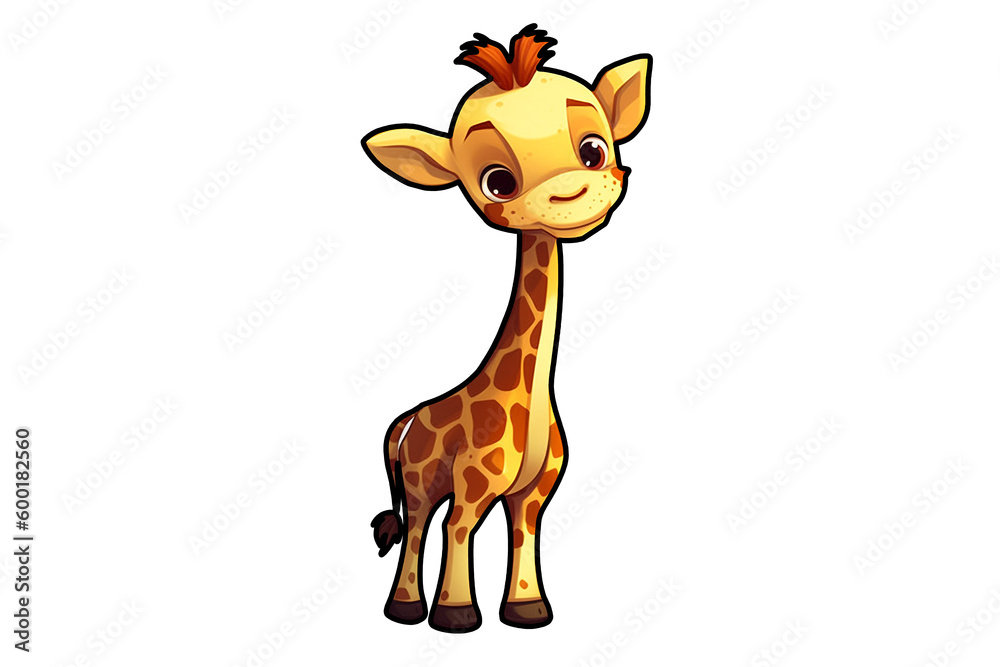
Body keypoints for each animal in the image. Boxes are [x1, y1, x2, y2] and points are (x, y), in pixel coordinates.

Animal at [363, 24, 651, 632]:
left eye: (594, 148)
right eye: (497, 181)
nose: (569, 194)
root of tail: (404, 422)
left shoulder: (533, 493)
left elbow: (524, 535)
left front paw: (527, 610)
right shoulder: (474, 484)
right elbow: (460, 529)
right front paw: (456, 617)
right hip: (420, 479)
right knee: (421, 526)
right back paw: (405, 609)